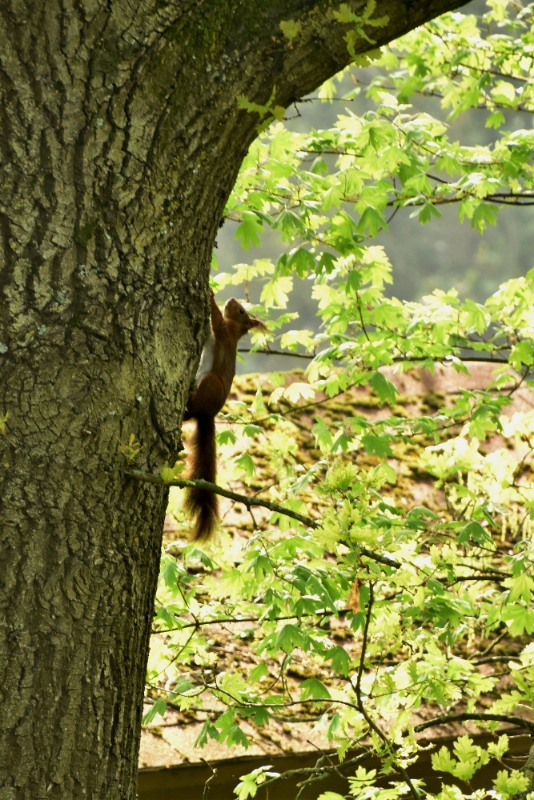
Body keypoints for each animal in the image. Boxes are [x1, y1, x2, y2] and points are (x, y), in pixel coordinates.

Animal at [185, 290, 266, 540]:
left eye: (241, 311)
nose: (231, 300)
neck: (235, 329)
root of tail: (208, 414)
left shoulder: (223, 328)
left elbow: (215, 317)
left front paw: (211, 294)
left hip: (211, 383)